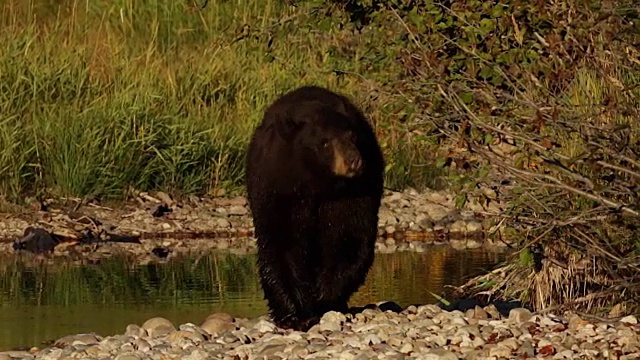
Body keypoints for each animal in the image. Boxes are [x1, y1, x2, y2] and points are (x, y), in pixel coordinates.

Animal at [246, 84, 384, 332]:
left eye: (352, 137)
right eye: (325, 142)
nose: (354, 161)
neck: (318, 182)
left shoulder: (353, 193)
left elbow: (347, 238)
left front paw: (325, 297)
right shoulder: (278, 188)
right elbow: (284, 244)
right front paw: (295, 313)